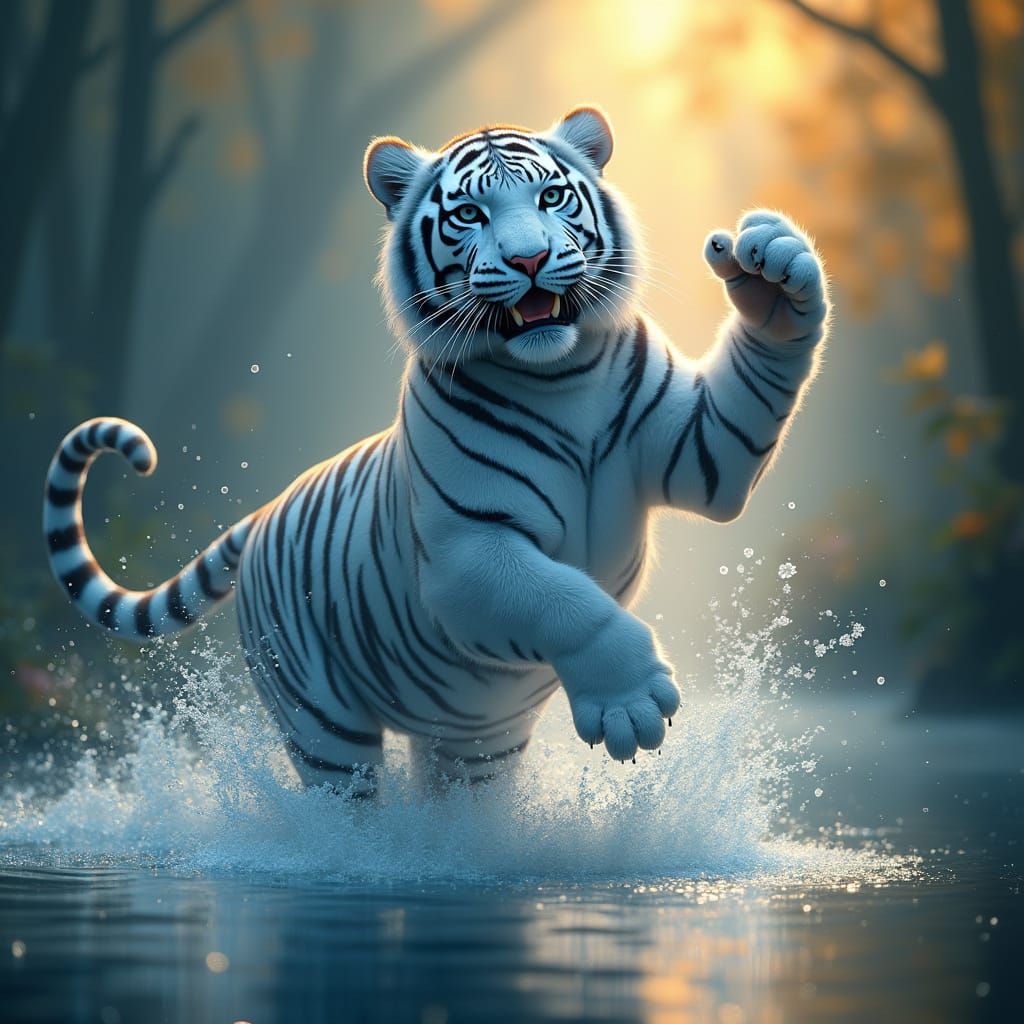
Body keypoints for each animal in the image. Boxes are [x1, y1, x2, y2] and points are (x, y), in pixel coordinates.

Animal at [43, 106, 828, 795]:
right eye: (469, 215)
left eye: (551, 196)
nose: (530, 258)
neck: (561, 374)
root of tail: (264, 513)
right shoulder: (466, 555)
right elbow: (562, 599)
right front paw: (628, 702)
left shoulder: (700, 450)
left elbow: (750, 389)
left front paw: (772, 269)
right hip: (319, 716)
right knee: (344, 798)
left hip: (473, 739)